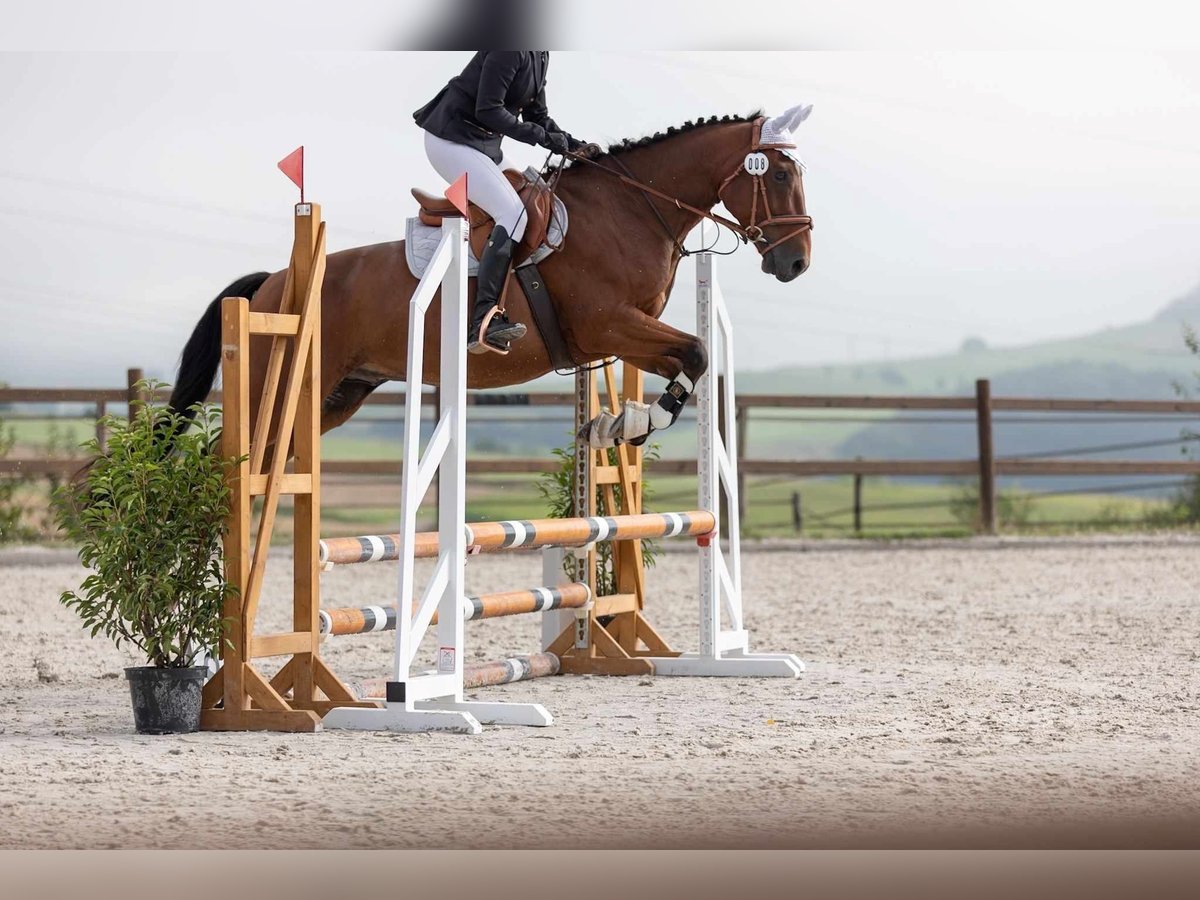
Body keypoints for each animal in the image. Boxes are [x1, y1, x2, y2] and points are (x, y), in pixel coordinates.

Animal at [166, 107, 816, 448]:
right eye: (782, 175)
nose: (797, 263)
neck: (633, 208)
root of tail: (274, 281)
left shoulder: (624, 335)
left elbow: (690, 360)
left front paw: (617, 424)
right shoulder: (608, 325)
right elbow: (699, 351)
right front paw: (634, 424)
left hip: (339, 394)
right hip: (283, 385)